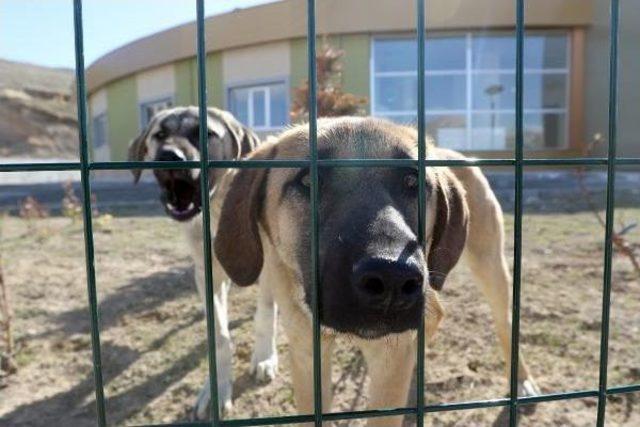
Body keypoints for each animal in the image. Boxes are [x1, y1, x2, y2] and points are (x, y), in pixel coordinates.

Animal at [127, 105, 278, 420]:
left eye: (206, 133)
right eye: (160, 134)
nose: (169, 157)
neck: (219, 210)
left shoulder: (270, 268)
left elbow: (265, 314)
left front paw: (264, 357)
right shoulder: (206, 274)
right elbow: (219, 336)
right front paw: (218, 387)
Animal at [212, 116, 536, 424]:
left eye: (412, 181)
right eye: (309, 181)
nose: (393, 276)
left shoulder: (388, 363)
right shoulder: (307, 353)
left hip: (488, 265)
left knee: (504, 324)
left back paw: (521, 382)